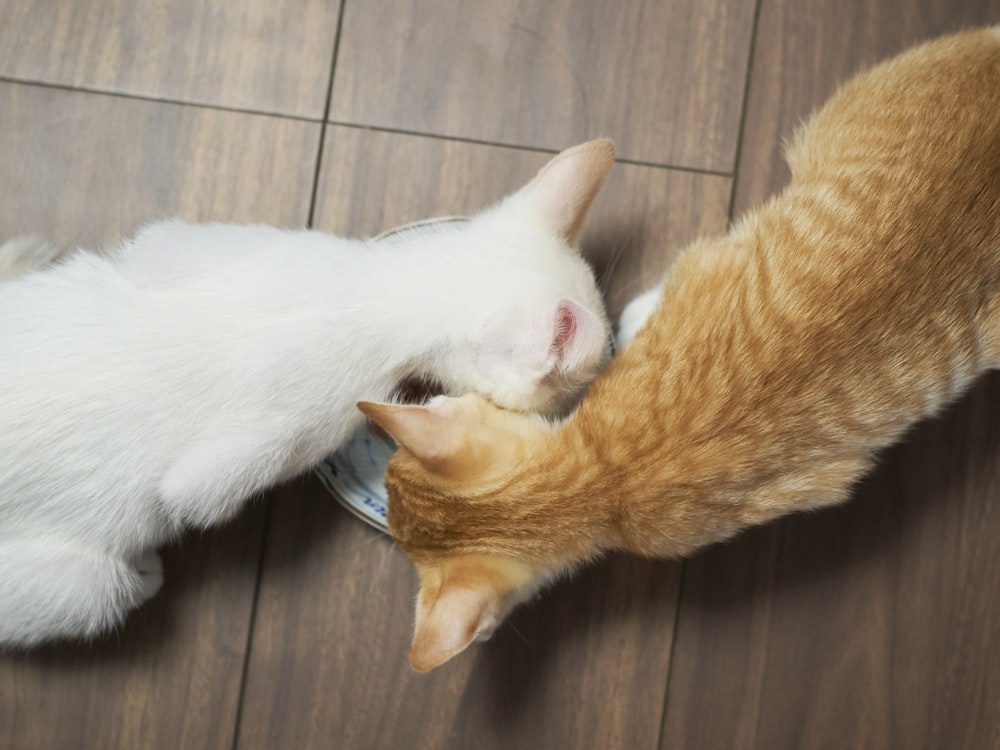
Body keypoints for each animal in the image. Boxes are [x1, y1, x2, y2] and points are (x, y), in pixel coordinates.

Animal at [0, 137, 616, 648]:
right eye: (567, 395)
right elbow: (186, 498)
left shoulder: (178, 242)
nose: (578, 414)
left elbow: (153, 246)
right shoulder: (261, 452)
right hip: (85, 588)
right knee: (113, 591)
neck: (370, 298)